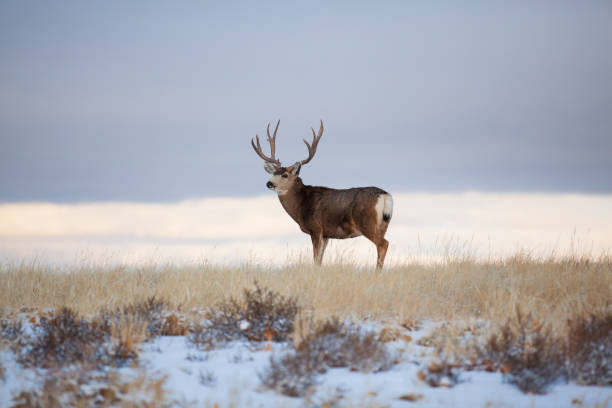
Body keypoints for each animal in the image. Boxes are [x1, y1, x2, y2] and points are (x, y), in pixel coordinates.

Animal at [251, 119, 394, 270]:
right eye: (273, 173)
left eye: (284, 175)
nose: (269, 183)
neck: (301, 204)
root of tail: (384, 195)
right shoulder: (326, 235)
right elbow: (320, 260)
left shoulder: (316, 229)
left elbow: (315, 259)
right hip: (383, 224)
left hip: (366, 222)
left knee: (383, 243)